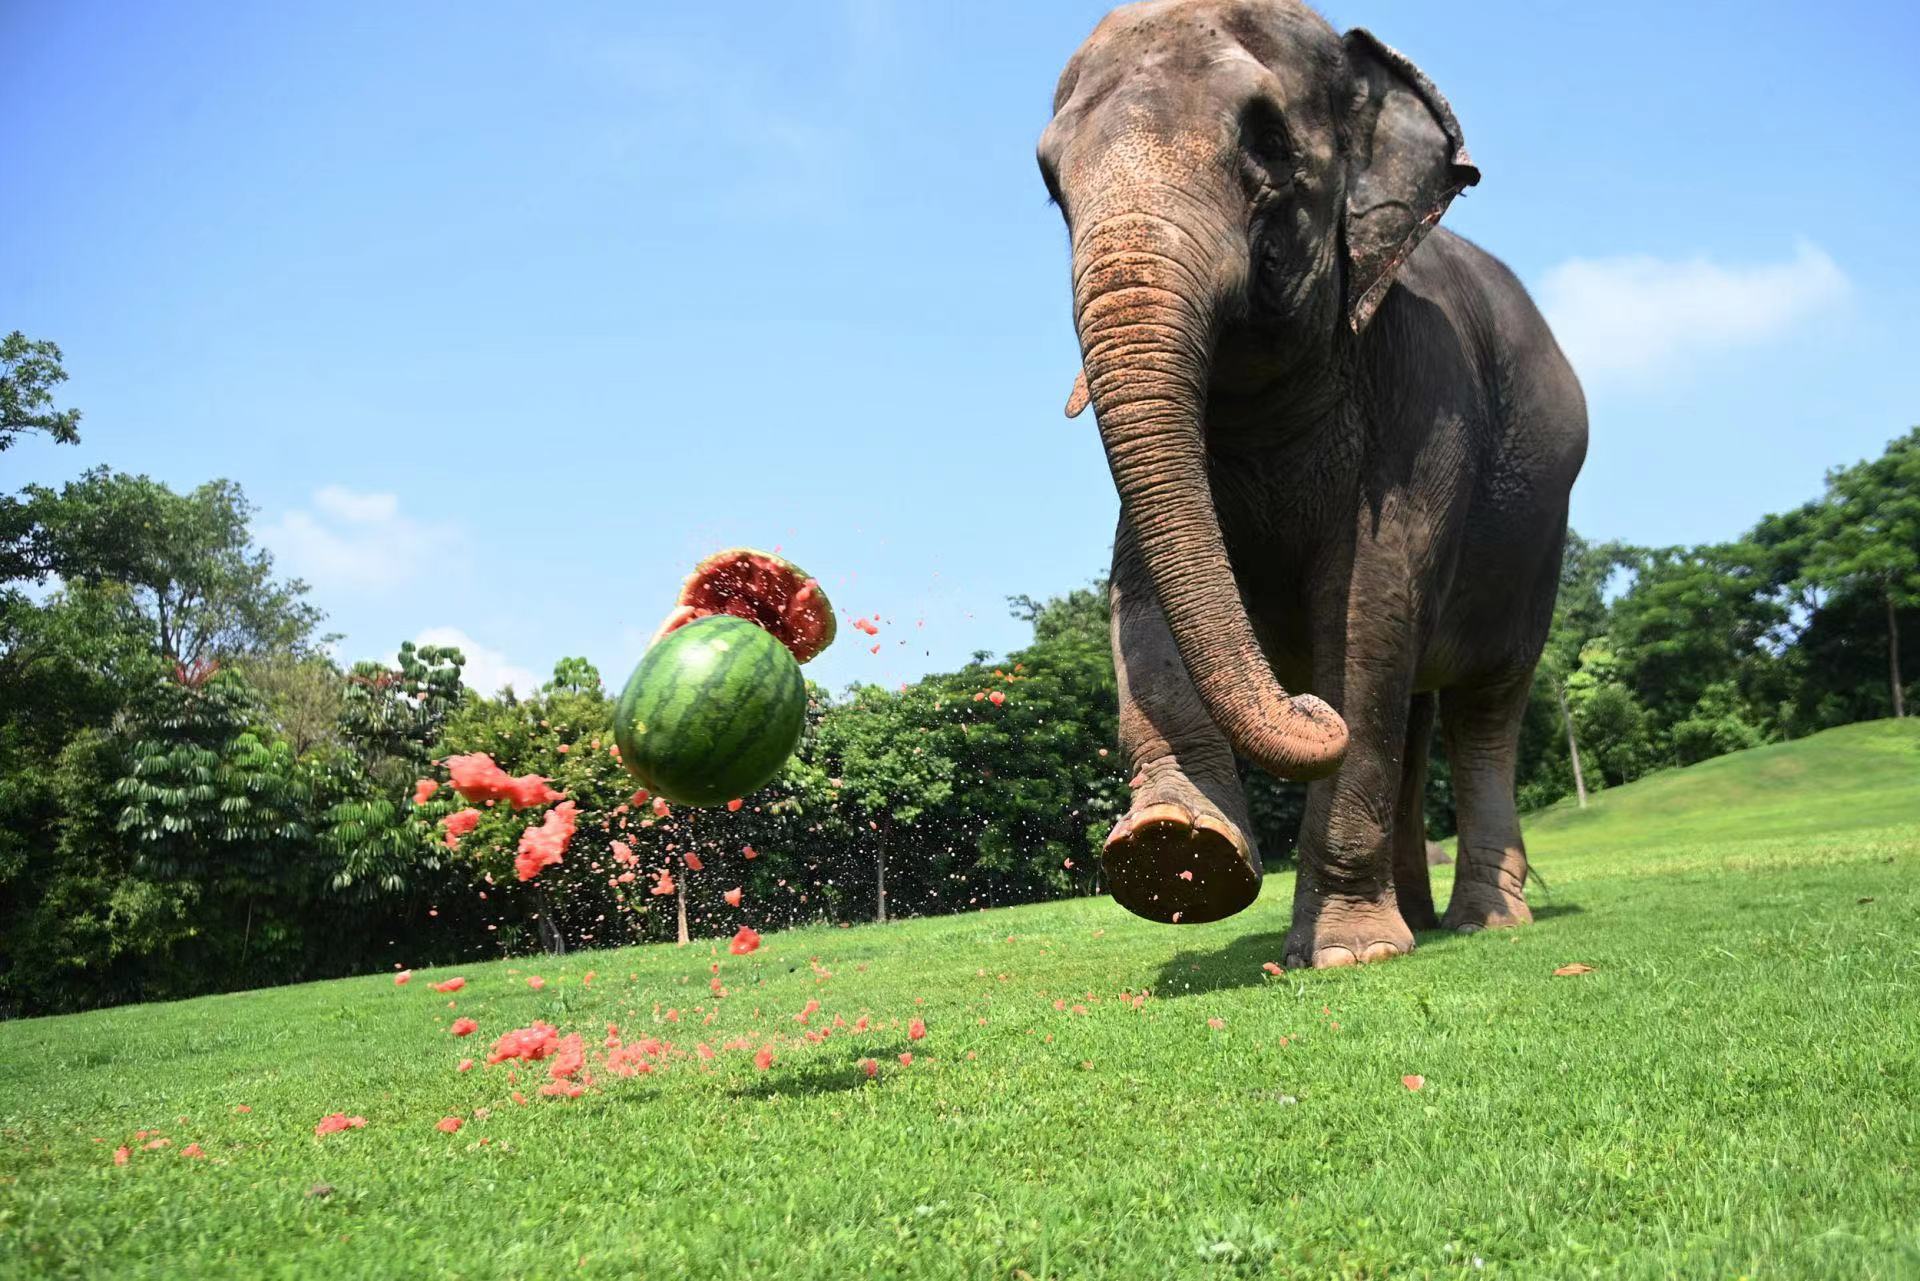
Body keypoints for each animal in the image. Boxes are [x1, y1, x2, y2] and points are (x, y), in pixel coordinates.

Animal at [1044, 0, 1582, 960]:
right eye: (1047, 182)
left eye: (1269, 144)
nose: (1302, 703)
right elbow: (1138, 593)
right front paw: (1173, 850)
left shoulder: (1422, 400)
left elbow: (1368, 613)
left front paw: (1347, 952)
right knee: (1416, 718)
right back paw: (1417, 917)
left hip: (1538, 543)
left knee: (1485, 708)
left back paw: (1483, 920)